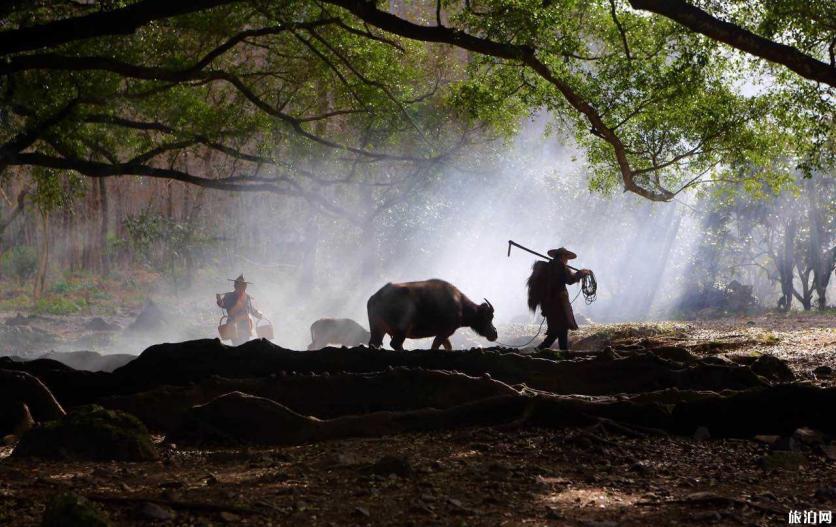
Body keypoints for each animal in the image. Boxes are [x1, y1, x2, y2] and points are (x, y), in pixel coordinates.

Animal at [366, 278, 496, 352]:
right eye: (489, 317)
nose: (494, 333)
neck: (460, 305)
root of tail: (374, 297)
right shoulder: (445, 332)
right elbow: (435, 347)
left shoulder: (443, 333)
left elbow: (448, 347)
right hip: (402, 328)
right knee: (395, 344)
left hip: (378, 328)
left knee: (374, 344)